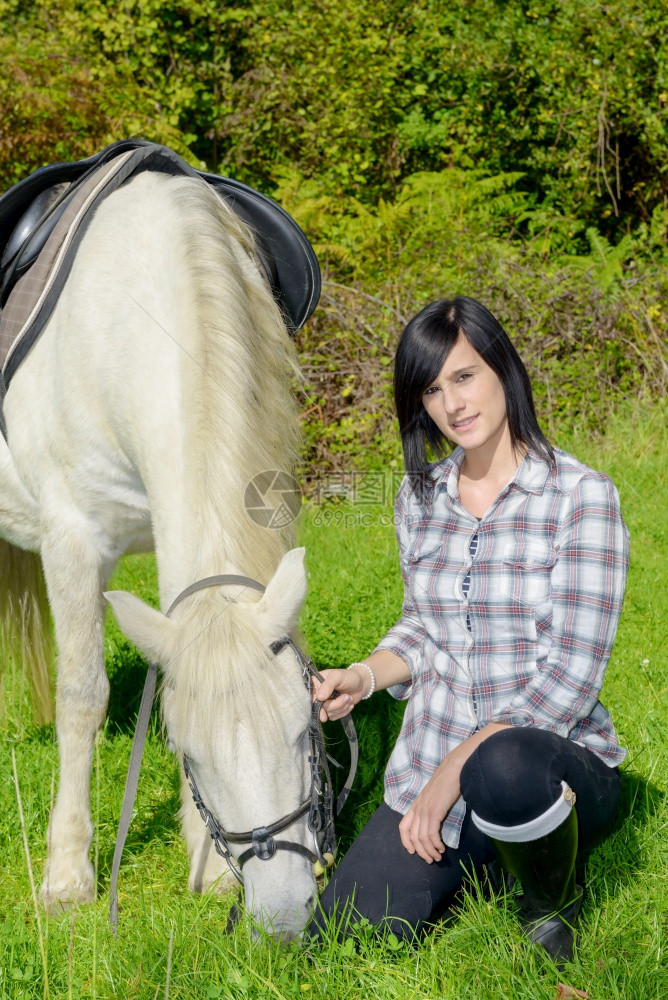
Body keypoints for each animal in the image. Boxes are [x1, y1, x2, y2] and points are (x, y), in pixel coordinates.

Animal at [0, 164, 320, 936]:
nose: (281, 915)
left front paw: (207, 865)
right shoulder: (71, 540)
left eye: (306, 733)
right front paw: (67, 875)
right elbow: (82, 695)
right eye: (191, 752)